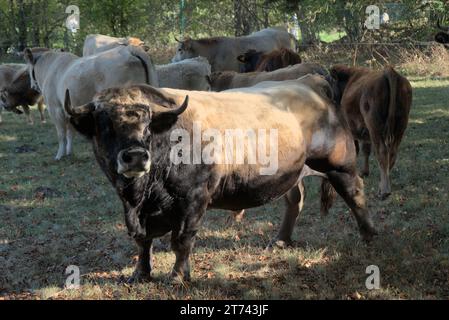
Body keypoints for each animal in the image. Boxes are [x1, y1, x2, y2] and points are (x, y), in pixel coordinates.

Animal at [24, 44, 159, 159]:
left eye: (29, 69)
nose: (32, 86)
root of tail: (129, 49)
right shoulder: (68, 109)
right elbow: (70, 132)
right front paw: (69, 152)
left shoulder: (55, 109)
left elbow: (61, 134)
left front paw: (59, 155)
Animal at [65, 74, 376, 282]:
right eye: (105, 123)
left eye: (148, 124)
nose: (136, 156)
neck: (143, 194)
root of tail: (309, 82)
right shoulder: (135, 211)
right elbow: (142, 242)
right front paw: (140, 274)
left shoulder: (193, 199)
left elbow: (182, 240)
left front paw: (178, 277)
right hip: (292, 172)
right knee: (295, 200)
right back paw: (281, 240)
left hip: (339, 165)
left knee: (355, 194)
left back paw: (369, 236)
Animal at [328, 64, 412, 200]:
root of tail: (389, 71)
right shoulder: (365, 133)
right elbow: (366, 150)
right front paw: (364, 172)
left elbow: (357, 150)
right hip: (400, 127)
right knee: (392, 153)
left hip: (375, 127)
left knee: (382, 152)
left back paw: (383, 191)